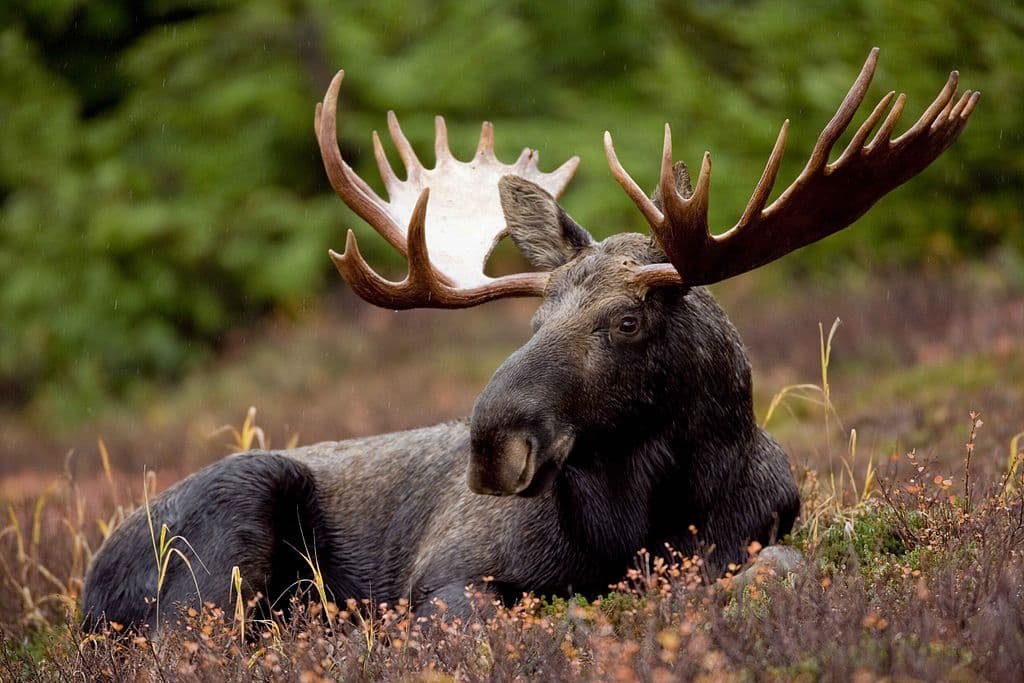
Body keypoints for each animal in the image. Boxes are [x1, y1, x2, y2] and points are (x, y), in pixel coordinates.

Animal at [79, 48, 974, 634]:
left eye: (626, 320)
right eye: (535, 322)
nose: (491, 444)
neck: (642, 521)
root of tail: (88, 582)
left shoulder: (761, 535)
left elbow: (781, 573)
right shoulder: (447, 577)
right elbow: (541, 617)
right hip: (224, 539)